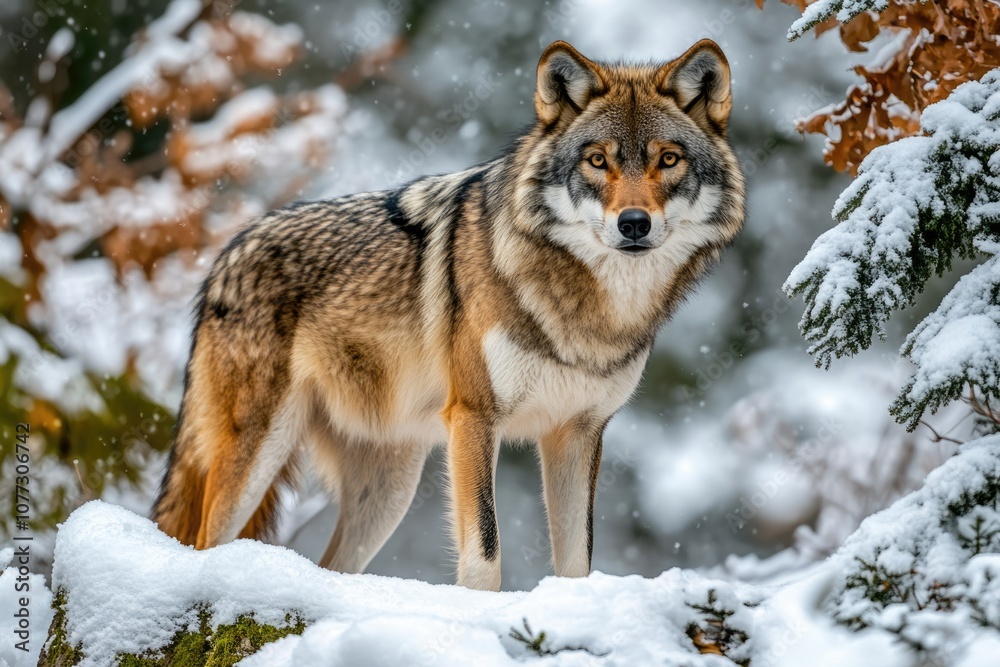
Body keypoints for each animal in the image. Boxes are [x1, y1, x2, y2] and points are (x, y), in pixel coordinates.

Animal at [153, 39, 746, 590]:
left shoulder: (577, 433)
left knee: (332, 566)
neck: (591, 314)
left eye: (668, 160)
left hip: (390, 488)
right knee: (203, 542)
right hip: (260, 456)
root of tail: (226, 255)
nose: (633, 224)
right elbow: (484, 550)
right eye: (597, 161)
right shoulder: (474, 417)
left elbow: (578, 562)